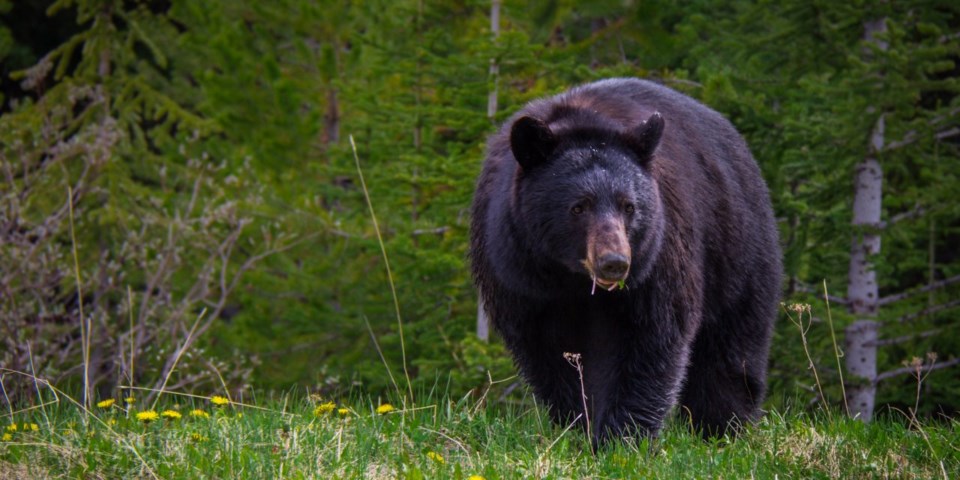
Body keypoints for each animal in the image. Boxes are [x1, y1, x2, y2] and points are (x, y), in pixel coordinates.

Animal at [470, 77, 780, 444]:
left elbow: (649, 339)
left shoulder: (657, 260)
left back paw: (721, 427)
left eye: (629, 206)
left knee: (731, 347)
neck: (571, 278)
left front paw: (623, 436)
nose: (614, 261)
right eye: (579, 206)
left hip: (737, 252)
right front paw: (578, 423)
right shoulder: (520, 274)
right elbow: (549, 353)